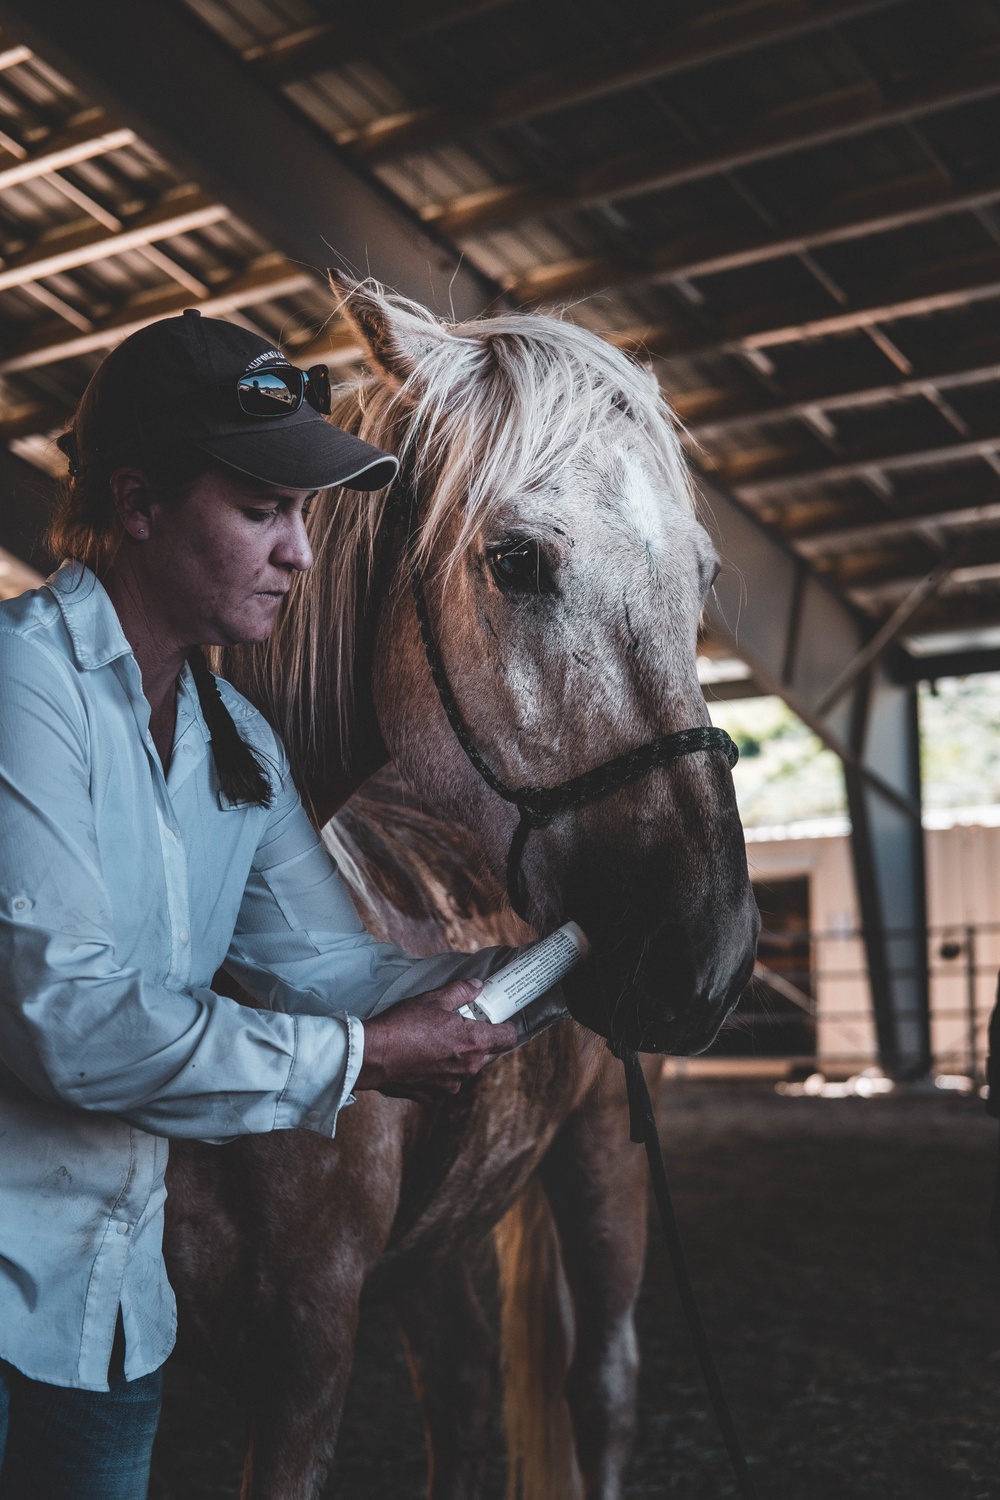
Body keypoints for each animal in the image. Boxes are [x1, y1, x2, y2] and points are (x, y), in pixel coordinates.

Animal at [164, 273, 758, 1500]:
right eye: (517, 561)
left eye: (704, 579)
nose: (711, 951)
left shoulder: (307, 1353)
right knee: (464, 1386)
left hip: (605, 1167)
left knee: (600, 1387)